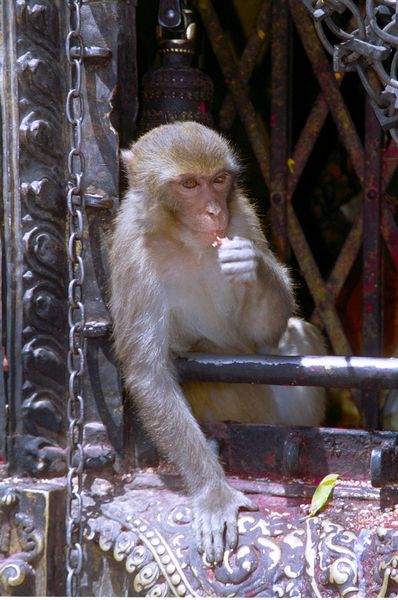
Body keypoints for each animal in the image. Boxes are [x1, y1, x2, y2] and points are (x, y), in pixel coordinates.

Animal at [109, 120, 326, 564]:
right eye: (190, 184)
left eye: (220, 180)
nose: (214, 211)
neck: (184, 240)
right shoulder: (131, 254)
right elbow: (149, 372)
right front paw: (213, 493)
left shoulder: (242, 217)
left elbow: (265, 333)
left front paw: (252, 265)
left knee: (298, 334)